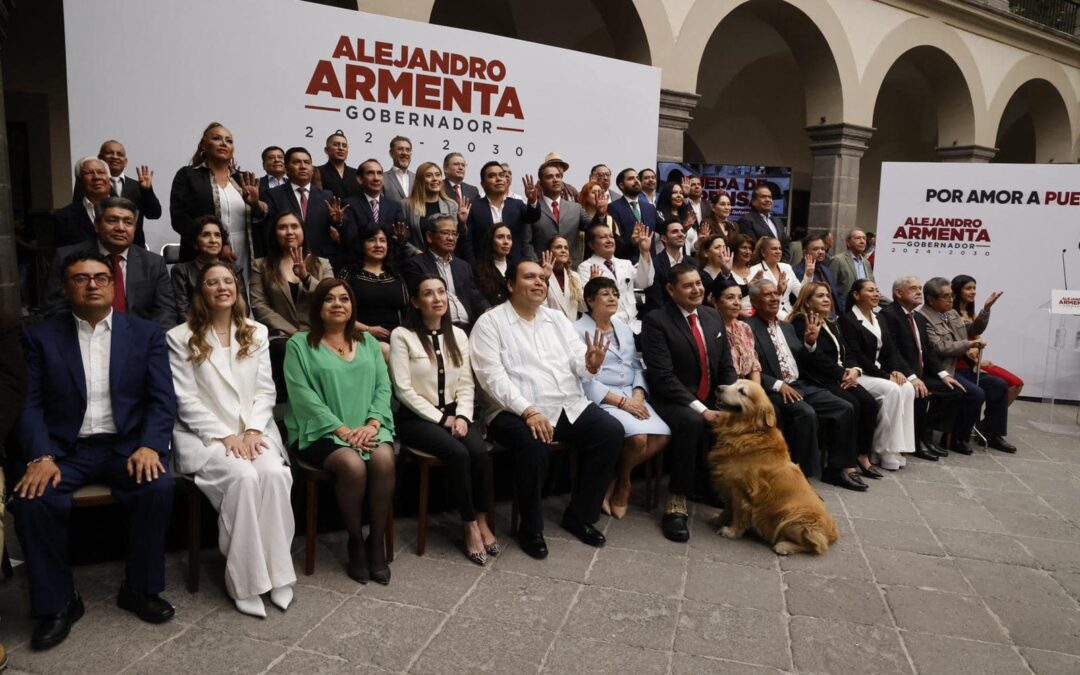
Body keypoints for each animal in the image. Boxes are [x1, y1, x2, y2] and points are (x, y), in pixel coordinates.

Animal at [704, 380, 838, 552]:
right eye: (734, 382)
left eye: (742, 392)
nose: (719, 388)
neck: (749, 431)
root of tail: (833, 533)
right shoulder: (729, 485)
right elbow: (727, 509)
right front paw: (719, 520)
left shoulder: (741, 490)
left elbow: (739, 514)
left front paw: (732, 531)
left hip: (791, 520)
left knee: (813, 545)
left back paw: (784, 546)